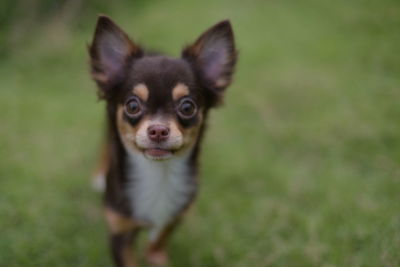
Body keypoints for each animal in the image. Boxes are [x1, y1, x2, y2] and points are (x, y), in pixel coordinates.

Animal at [88, 15, 238, 266]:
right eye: (132, 105)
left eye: (187, 107)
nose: (158, 130)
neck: (158, 173)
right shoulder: (119, 229)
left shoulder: (178, 212)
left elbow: (161, 235)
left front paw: (156, 254)